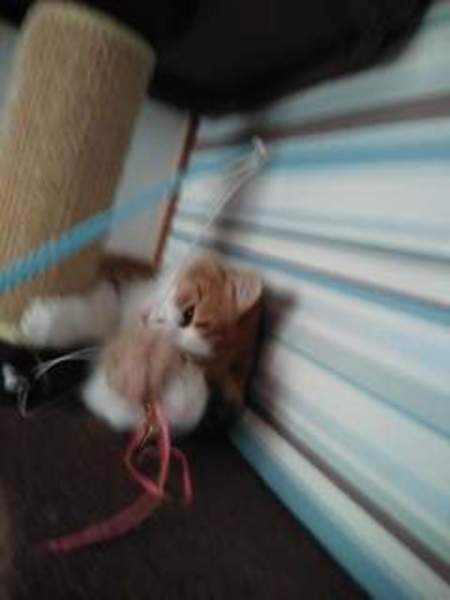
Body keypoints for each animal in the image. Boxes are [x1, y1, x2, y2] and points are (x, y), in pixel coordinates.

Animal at [19, 255, 263, 435]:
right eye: (189, 314)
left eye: (184, 358)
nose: (149, 325)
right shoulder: (119, 290)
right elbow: (96, 314)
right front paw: (42, 323)